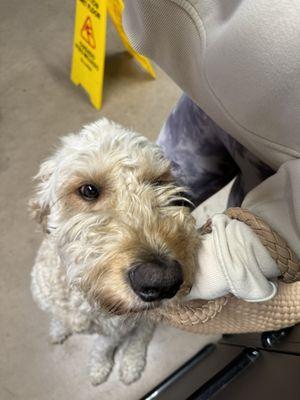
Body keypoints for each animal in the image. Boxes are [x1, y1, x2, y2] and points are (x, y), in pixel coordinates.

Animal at [29, 118, 200, 384]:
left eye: (158, 182)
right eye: (88, 190)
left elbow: (103, 347)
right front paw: (59, 327)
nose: (162, 280)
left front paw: (99, 368)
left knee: (143, 333)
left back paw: (131, 363)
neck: (81, 294)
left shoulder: (115, 329)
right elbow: (57, 316)